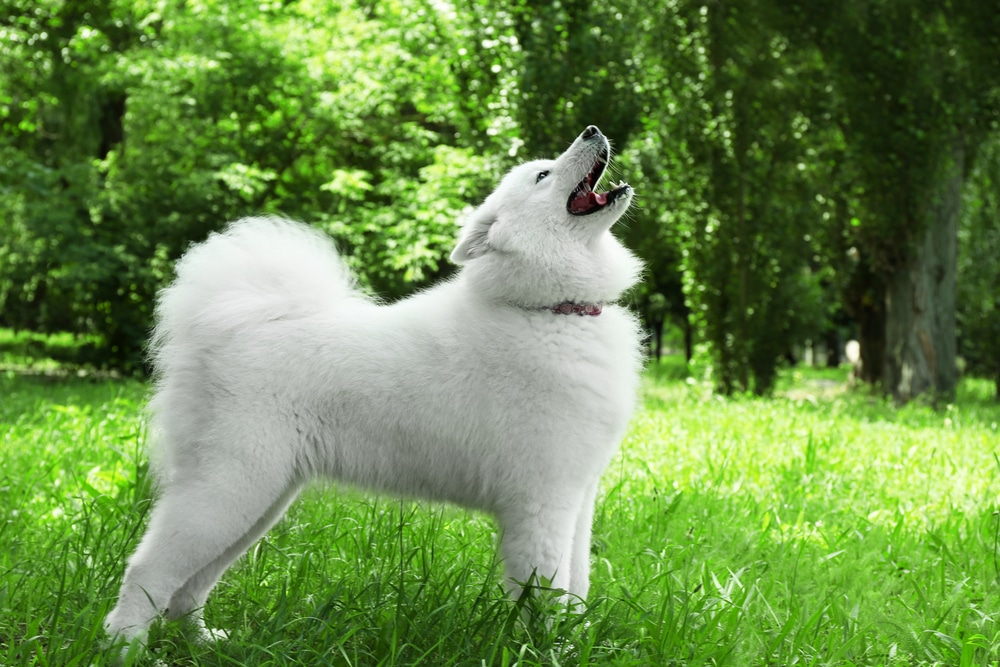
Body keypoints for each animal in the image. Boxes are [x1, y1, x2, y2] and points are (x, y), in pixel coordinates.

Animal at [105, 125, 644, 648]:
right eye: (542, 175)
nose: (593, 129)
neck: (551, 310)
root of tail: (226, 334)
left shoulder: (577, 498)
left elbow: (576, 584)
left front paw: (574, 642)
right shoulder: (541, 501)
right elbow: (549, 594)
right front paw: (551, 651)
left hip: (261, 499)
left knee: (190, 585)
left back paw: (203, 641)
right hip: (231, 487)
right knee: (147, 571)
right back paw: (125, 648)